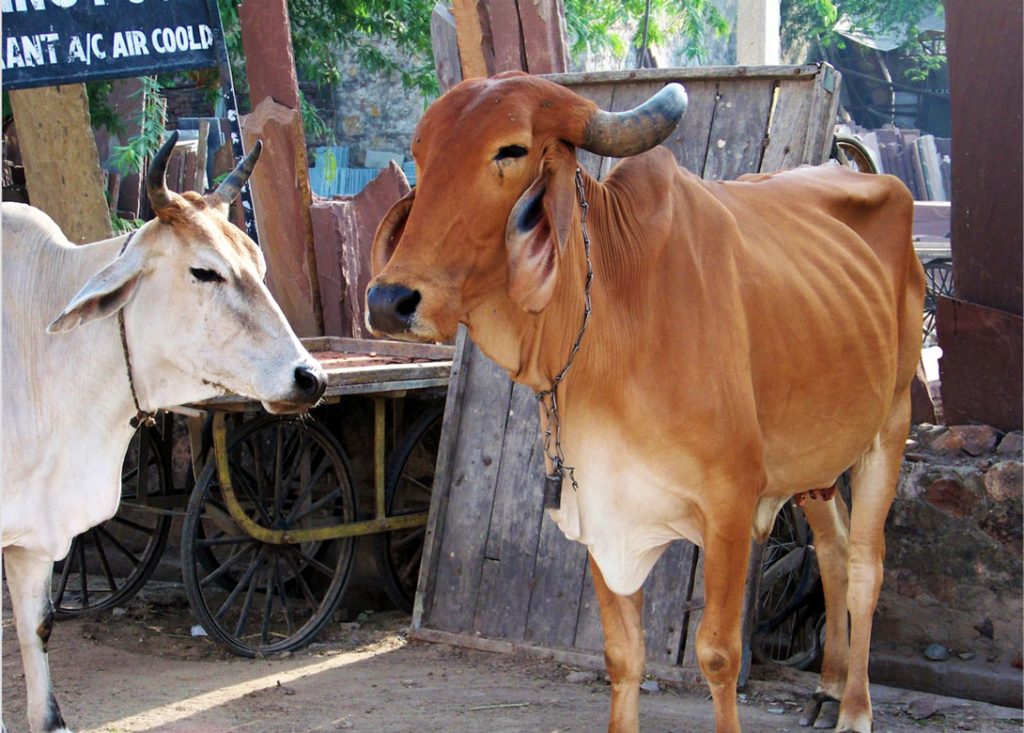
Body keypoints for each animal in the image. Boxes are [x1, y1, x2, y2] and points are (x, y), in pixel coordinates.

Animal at [364, 73, 925, 733]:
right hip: (816, 461)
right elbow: (622, 654)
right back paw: (829, 687)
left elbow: (718, 654)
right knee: (834, 553)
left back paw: (856, 708)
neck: (612, 312)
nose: (389, 301)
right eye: (422, 156)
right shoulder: (598, 507)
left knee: (865, 566)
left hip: (890, 426)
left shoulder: (730, 504)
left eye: (510, 150)